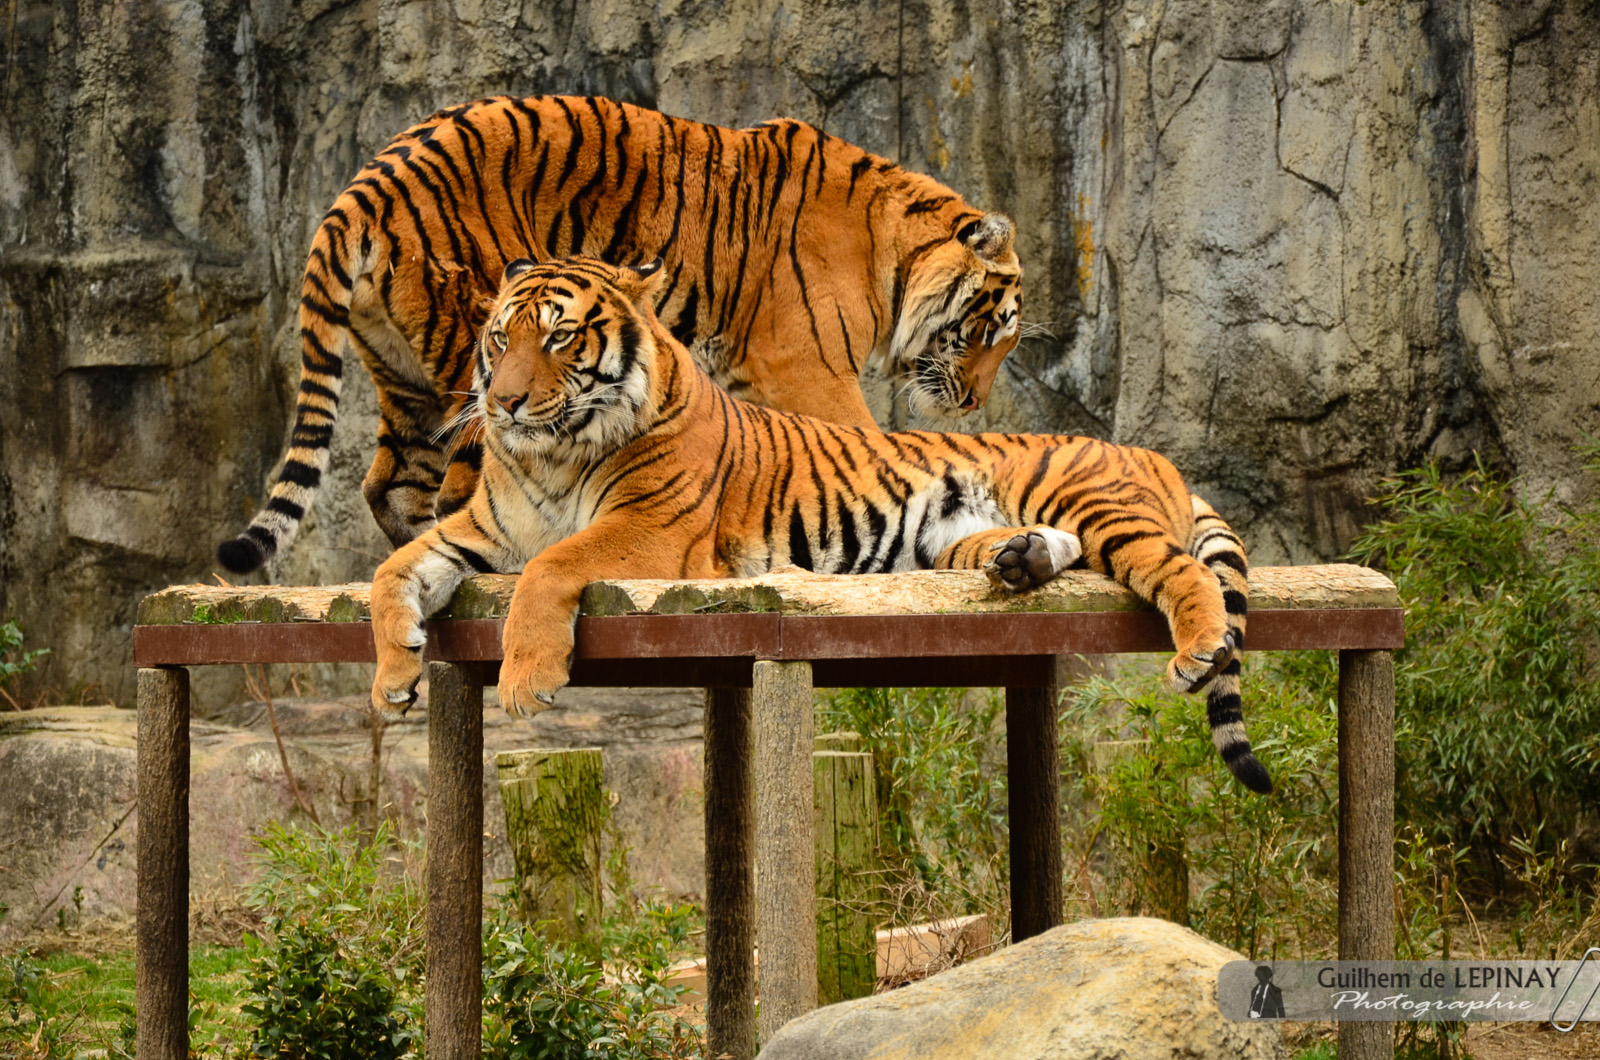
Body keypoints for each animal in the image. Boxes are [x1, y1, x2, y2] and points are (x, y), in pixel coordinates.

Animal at [216, 95, 1024, 576]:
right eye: (992, 327)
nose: (975, 404)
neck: (895, 249)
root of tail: (366, 181)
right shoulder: (806, 365)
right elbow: (859, 442)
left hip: (402, 373)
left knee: (388, 485)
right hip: (477, 357)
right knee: (461, 487)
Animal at [368, 257, 1267, 794]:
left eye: (558, 338)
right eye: (498, 338)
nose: (505, 402)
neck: (550, 455)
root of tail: (1153, 456)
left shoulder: (648, 530)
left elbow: (551, 568)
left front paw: (525, 681)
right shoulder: (482, 532)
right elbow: (391, 574)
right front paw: (393, 678)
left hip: (1094, 499)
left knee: (1182, 572)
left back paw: (1194, 652)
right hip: (954, 537)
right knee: (1056, 554)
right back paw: (1021, 561)